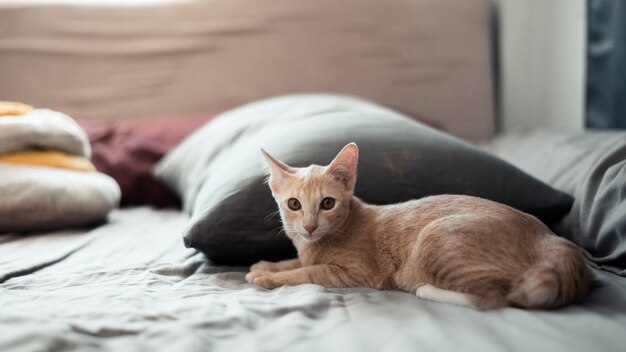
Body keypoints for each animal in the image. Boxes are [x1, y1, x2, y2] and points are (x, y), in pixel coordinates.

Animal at [245, 142, 588, 310]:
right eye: (294, 205)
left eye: (327, 203)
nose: (310, 226)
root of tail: (548, 236)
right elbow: (297, 262)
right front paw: (268, 264)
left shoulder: (359, 273)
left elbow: (308, 272)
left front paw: (266, 276)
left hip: (435, 238)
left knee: (495, 298)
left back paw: (427, 290)